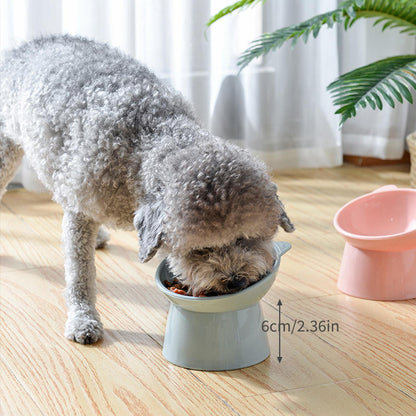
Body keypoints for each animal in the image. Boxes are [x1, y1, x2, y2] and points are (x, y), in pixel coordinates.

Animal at [0, 35, 294, 342]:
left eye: (246, 238)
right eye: (200, 250)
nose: (235, 282)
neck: (147, 144)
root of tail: (29, 44)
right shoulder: (81, 209)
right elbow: (80, 274)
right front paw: (83, 319)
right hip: (7, 153)